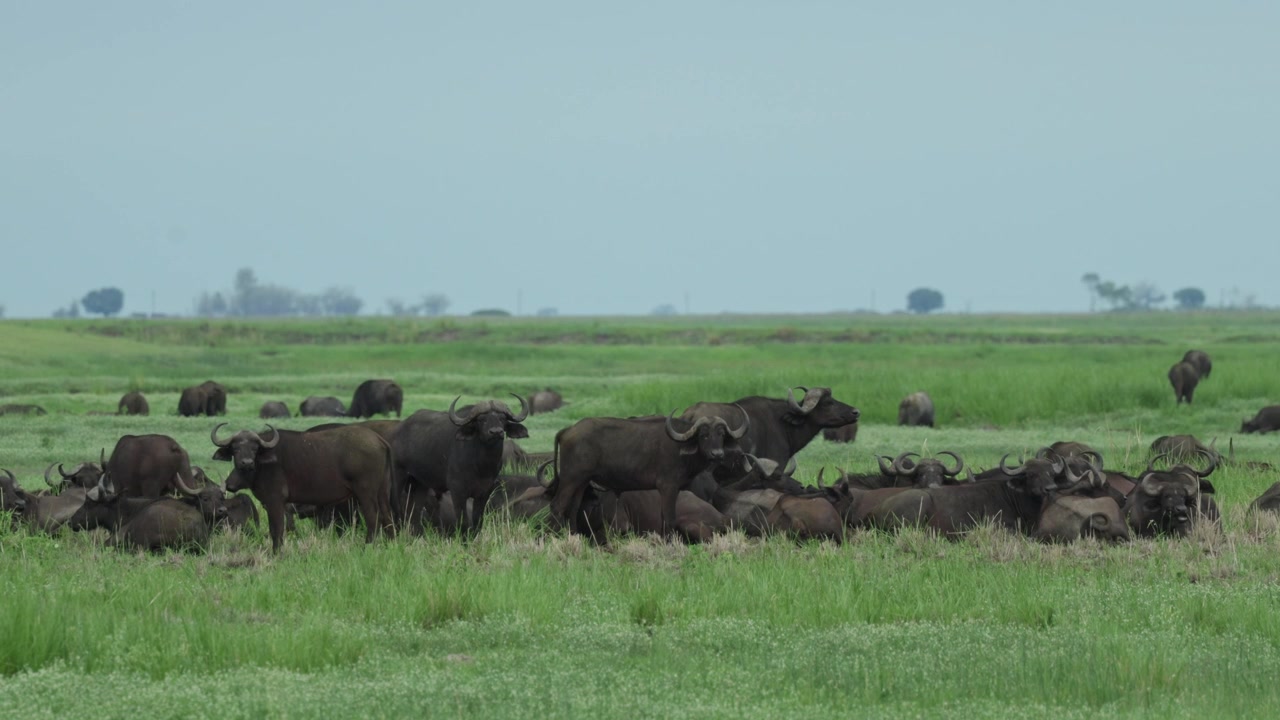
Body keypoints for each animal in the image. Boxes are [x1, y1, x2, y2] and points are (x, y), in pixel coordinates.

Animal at [214, 423, 396, 552]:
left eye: (255, 448)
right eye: (235, 449)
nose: (247, 463)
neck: (263, 464)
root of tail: (379, 440)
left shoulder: (275, 502)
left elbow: (277, 529)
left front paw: (277, 553)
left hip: (366, 493)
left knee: (373, 518)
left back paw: (368, 547)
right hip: (382, 492)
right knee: (387, 517)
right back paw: (390, 545)